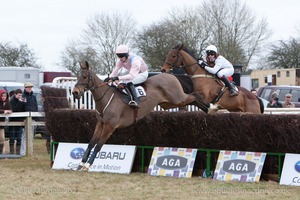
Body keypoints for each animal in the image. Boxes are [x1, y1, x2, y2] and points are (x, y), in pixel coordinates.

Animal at [71, 60, 214, 170]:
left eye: (85, 76)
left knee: (195, 95)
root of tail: (171, 76)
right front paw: (81, 164)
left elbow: (98, 145)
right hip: (169, 103)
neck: (105, 99)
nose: (75, 92)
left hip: (178, 98)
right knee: (194, 99)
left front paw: (87, 165)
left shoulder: (110, 126)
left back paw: (212, 107)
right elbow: (91, 143)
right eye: (77, 76)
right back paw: (209, 109)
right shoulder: (100, 124)